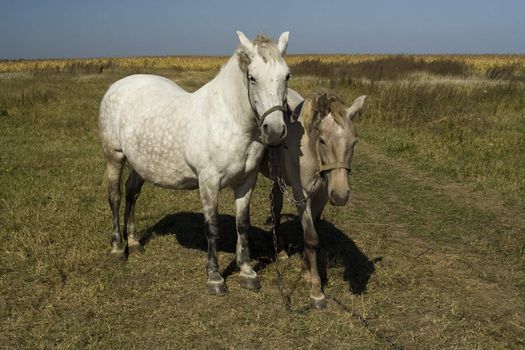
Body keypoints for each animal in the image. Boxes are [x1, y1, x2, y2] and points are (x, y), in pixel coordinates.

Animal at [98, 32, 290, 296]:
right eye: (252, 77)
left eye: (287, 75)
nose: (275, 130)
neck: (229, 120)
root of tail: (117, 86)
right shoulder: (208, 182)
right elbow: (211, 227)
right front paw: (215, 278)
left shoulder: (246, 182)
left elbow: (242, 224)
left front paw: (247, 272)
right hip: (114, 156)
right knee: (115, 197)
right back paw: (118, 248)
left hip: (140, 163)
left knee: (131, 193)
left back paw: (134, 243)